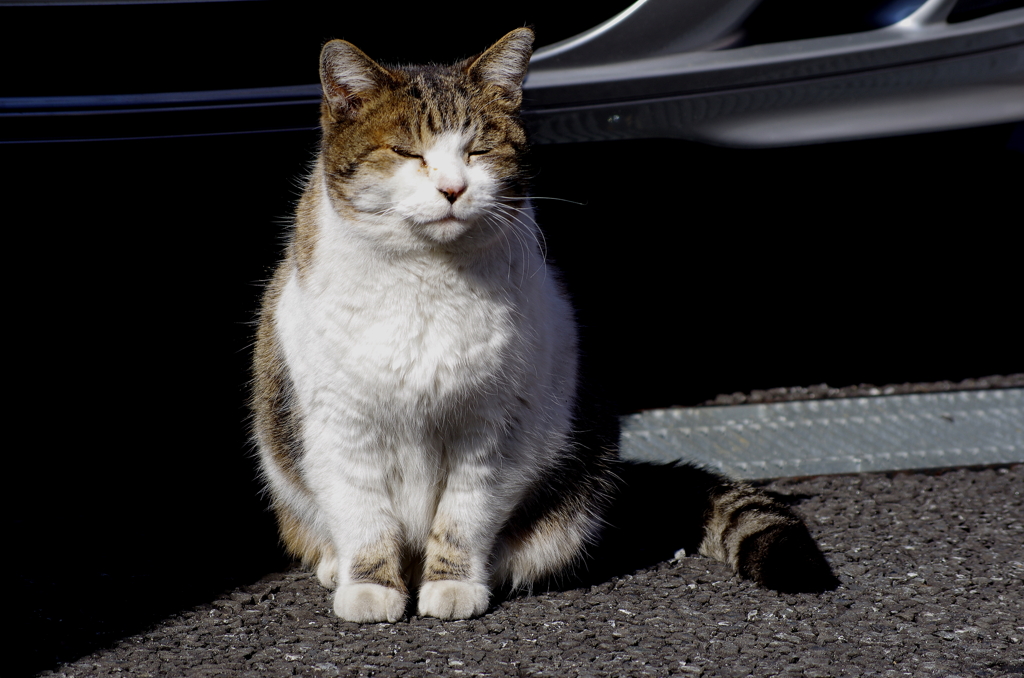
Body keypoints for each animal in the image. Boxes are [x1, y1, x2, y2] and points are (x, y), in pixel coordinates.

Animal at [251, 27, 835, 626]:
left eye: (478, 150)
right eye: (407, 153)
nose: (453, 189)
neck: (427, 280)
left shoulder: (492, 432)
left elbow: (463, 516)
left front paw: (454, 585)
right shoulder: (341, 426)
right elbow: (365, 516)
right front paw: (369, 588)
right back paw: (336, 566)